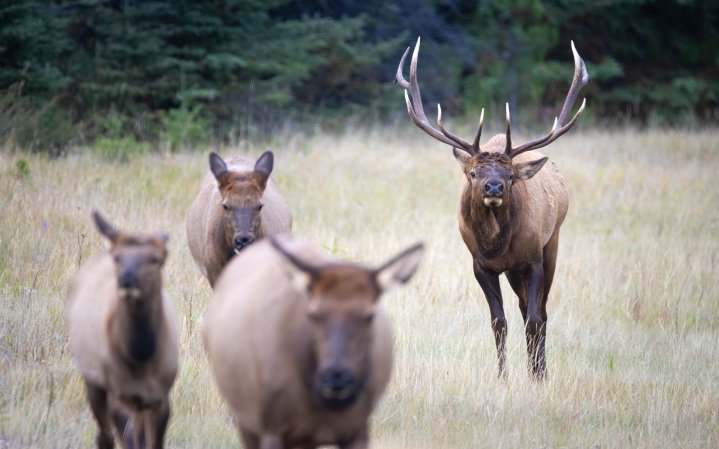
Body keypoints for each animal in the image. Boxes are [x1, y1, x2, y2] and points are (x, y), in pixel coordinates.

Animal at [65, 211, 179, 448]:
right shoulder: (118, 395)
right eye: (118, 258)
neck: (140, 357)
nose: (127, 279)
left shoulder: (160, 397)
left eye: (155, 259)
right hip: (94, 382)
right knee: (104, 435)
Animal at [394, 36, 592, 378]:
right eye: (474, 172)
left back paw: (540, 369)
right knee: (525, 308)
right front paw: (502, 376)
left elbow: (535, 319)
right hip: (513, 271)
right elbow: (499, 322)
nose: (494, 187)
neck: (496, 246)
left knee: (539, 312)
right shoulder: (480, 266)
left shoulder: (533, 259)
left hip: (552, 242)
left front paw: (536, 376)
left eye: (510, 175)